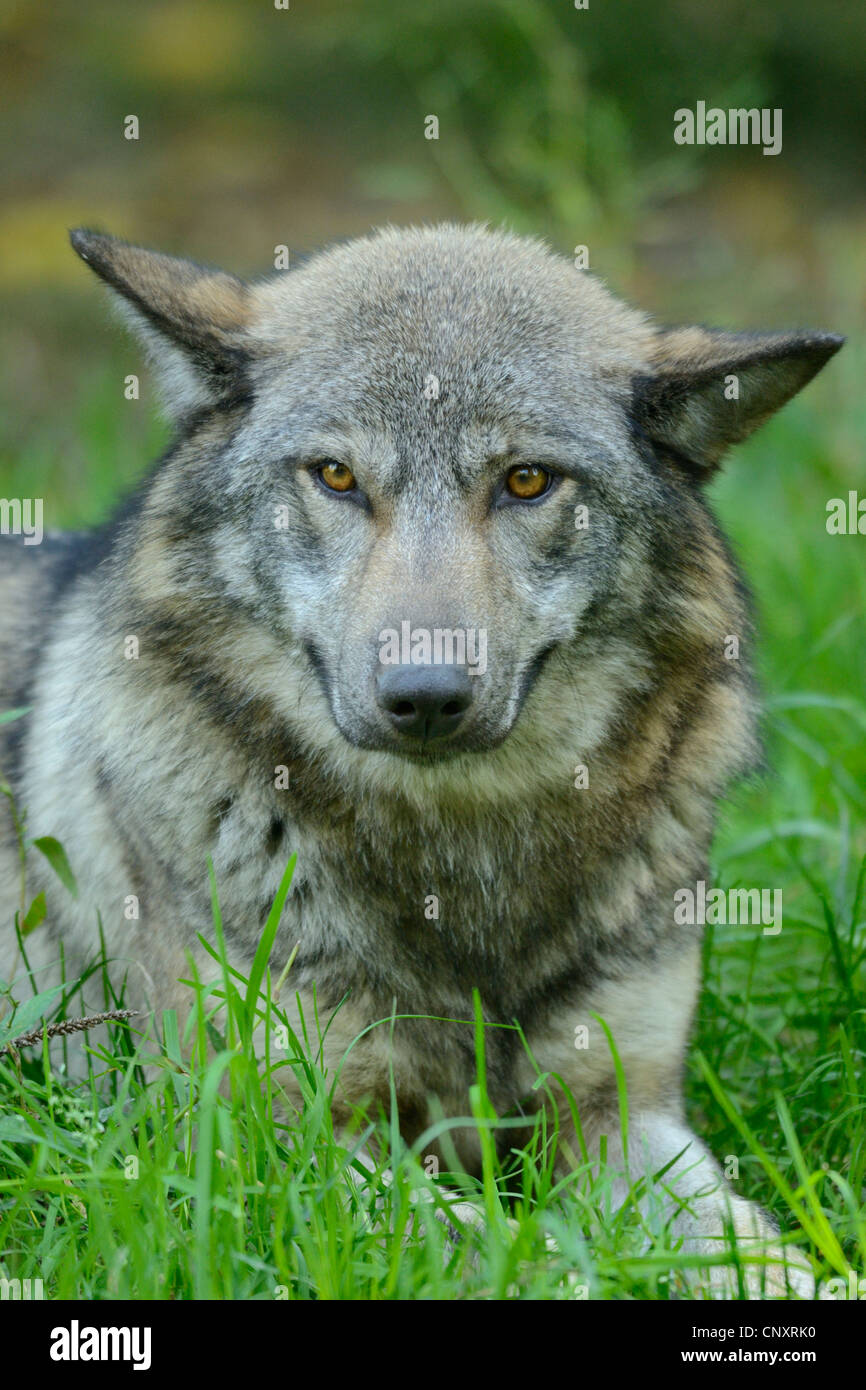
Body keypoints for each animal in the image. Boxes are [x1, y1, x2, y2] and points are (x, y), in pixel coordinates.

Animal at [0, 223, 842, 1296]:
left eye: (526, 480)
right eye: (335, 476)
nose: (427, 695)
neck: (459, 862)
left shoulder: (623, 1115)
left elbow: (765, 1252)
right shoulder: (278, 1142)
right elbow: (517, 1258)